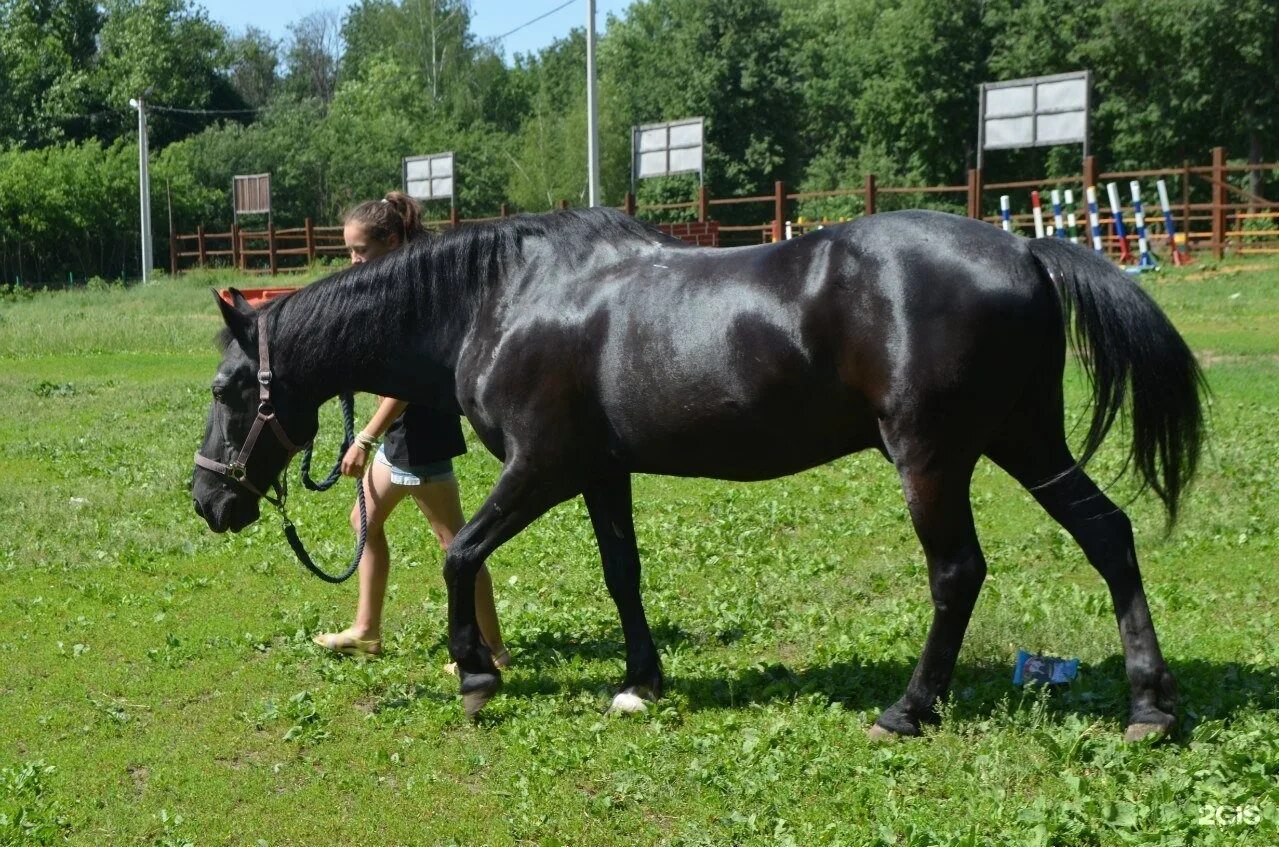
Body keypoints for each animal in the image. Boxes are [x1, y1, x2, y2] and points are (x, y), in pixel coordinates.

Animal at [189, 207, 1197, 742]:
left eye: (232, 388)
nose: (208, 499)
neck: (501, 301)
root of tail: (1023, 247)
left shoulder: (542, 466)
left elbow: (461, 553)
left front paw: (474, 673)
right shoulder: (602, 471)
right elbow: (621, 572)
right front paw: (641, 678)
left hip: (934, 457)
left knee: (957, 572)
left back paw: (907, 708)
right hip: (1024, 439)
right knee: (1106, 532)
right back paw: (1149, 705)